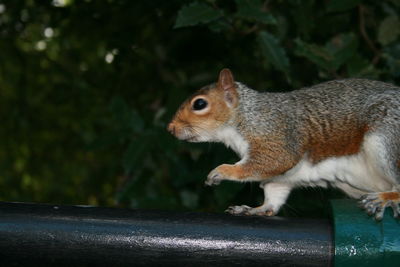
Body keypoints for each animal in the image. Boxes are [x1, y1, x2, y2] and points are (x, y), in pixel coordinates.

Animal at [166, 68, 400, 221]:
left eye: (199, 104)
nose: (170, 128)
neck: (246, 115)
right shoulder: (282, 178)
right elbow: (273, 195)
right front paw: (254, 209)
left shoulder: (276, 135)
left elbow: (273, 161)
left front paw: (222, 171)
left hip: (388, 139)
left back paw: (387, 197)